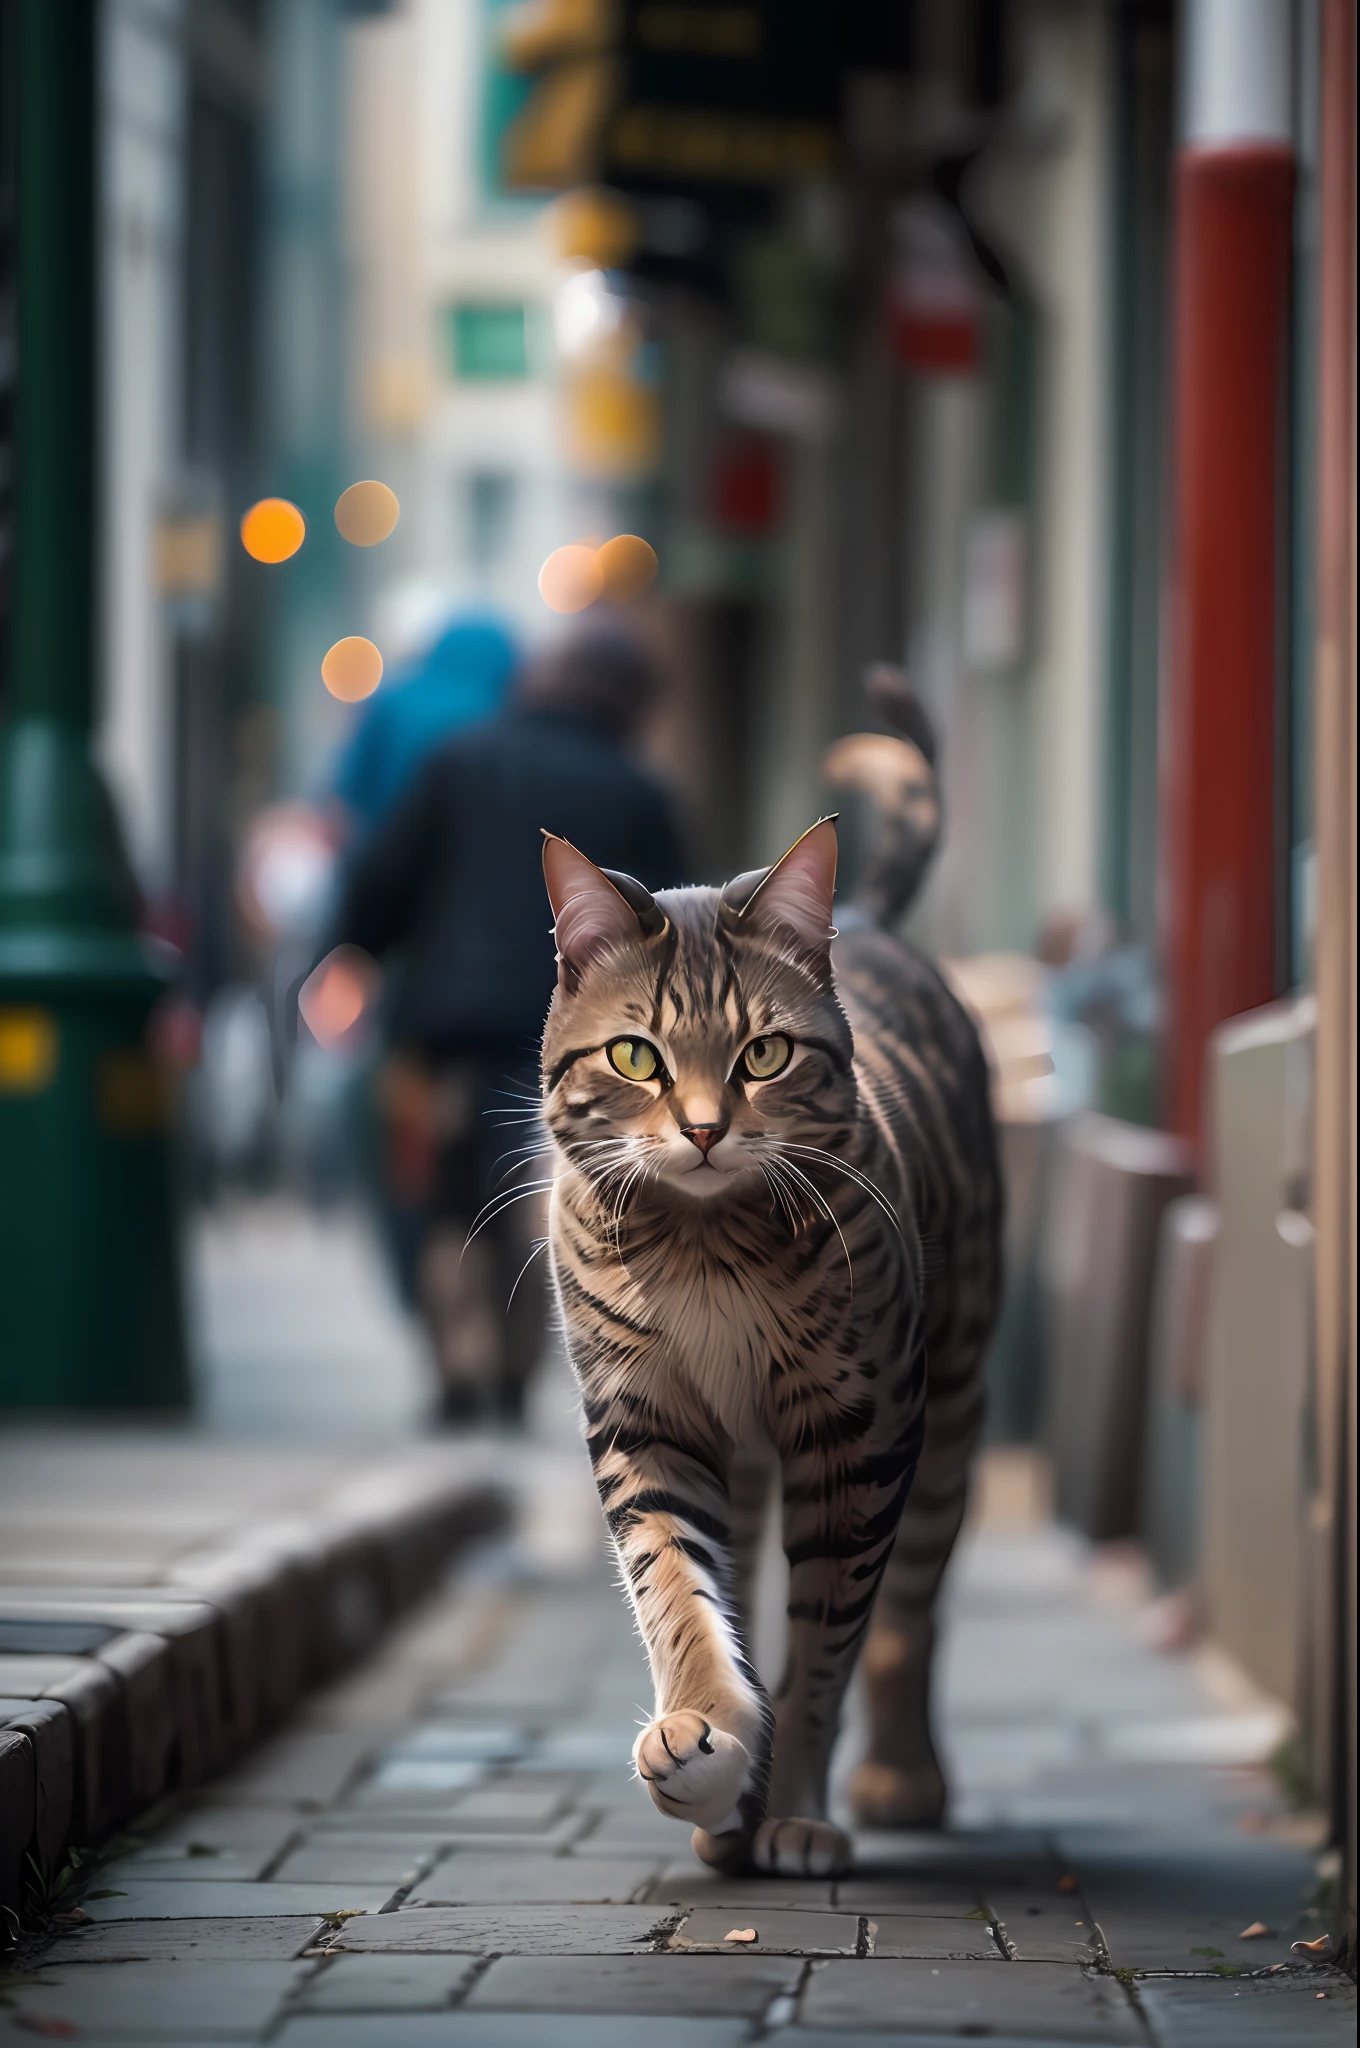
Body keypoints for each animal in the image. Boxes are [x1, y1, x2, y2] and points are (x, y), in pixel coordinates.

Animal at [540, 696, 999, 1875]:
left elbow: (826, 1649)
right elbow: (681, 1593)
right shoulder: (645, 1418)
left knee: (913, 1614)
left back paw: (900, 1775)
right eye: (636, 1056)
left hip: (948, 1409)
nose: (705, 1128)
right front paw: (706, 1738)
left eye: (763, 1053)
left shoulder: (859, 1435)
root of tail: (869, 918)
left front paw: (792, 1799)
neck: (707, 1251)